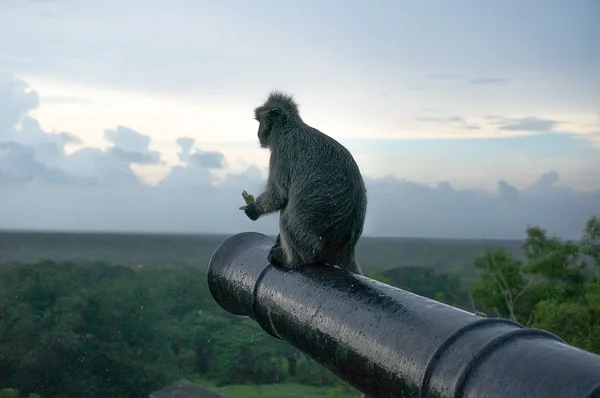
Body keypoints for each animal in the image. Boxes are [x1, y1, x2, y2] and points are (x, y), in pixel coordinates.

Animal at [243, 91, 366, 276]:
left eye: (259, 121)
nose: (258, 133)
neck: (290, 128)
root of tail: (344, 250)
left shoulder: (282, 151)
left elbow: (279, 196)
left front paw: (254, 209)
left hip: (308, 244)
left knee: (287, 215)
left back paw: (292, 261)